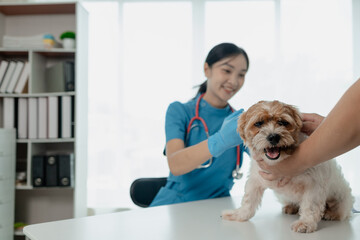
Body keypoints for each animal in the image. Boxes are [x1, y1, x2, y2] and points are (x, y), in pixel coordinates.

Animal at [221, 101, 352, 232]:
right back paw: (291, 206)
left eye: (283, 122)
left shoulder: (314, 185)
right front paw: (238, 215)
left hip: (342, 197)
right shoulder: (255, 180)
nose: (273, 137)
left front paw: (305, 223)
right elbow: (248, 201)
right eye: (258, 123)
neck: (280, 160)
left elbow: (310, 206)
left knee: (342, 211)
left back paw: (332, 213)